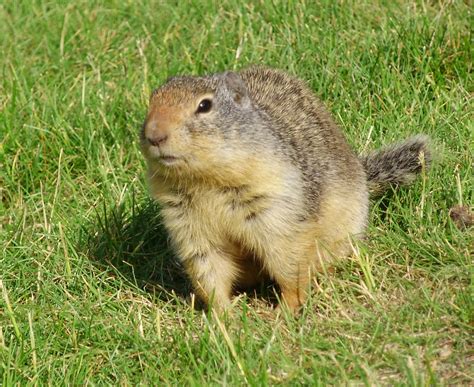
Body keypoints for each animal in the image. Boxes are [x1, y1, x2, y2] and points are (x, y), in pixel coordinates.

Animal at [139, 66, 432, 314]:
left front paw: (286, 310)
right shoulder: (186, 221)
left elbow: (287, 258)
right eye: (151, 101)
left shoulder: (277, 203)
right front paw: (224, 315)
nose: (154, 135)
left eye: (204, 105)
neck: (205, 182)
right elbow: (207, 265)